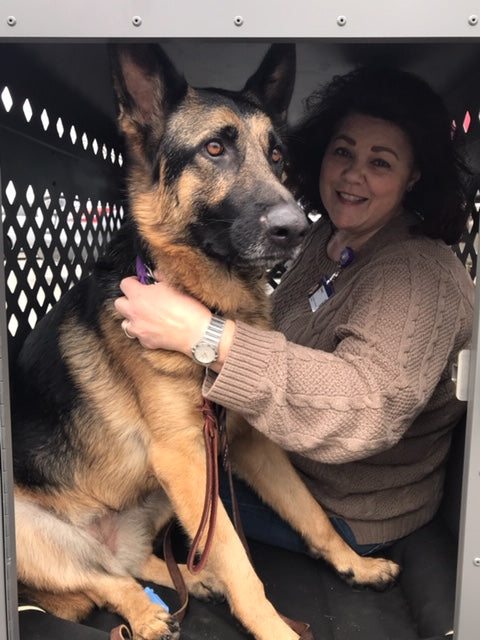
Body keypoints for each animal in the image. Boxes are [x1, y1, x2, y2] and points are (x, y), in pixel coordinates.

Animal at [13, 46, 400, 640]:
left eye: (278, 156)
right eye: (214, 148)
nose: (297, 228)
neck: (214, 307)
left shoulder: (245, 444)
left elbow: (309, 511)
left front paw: (353, 562)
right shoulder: (187, 459)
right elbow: (238, 558)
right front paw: (275, 629)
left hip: (162, 498)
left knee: (129, 562)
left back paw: (194, 583)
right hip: (37, 528)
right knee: (102, 580)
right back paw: (147, 614)